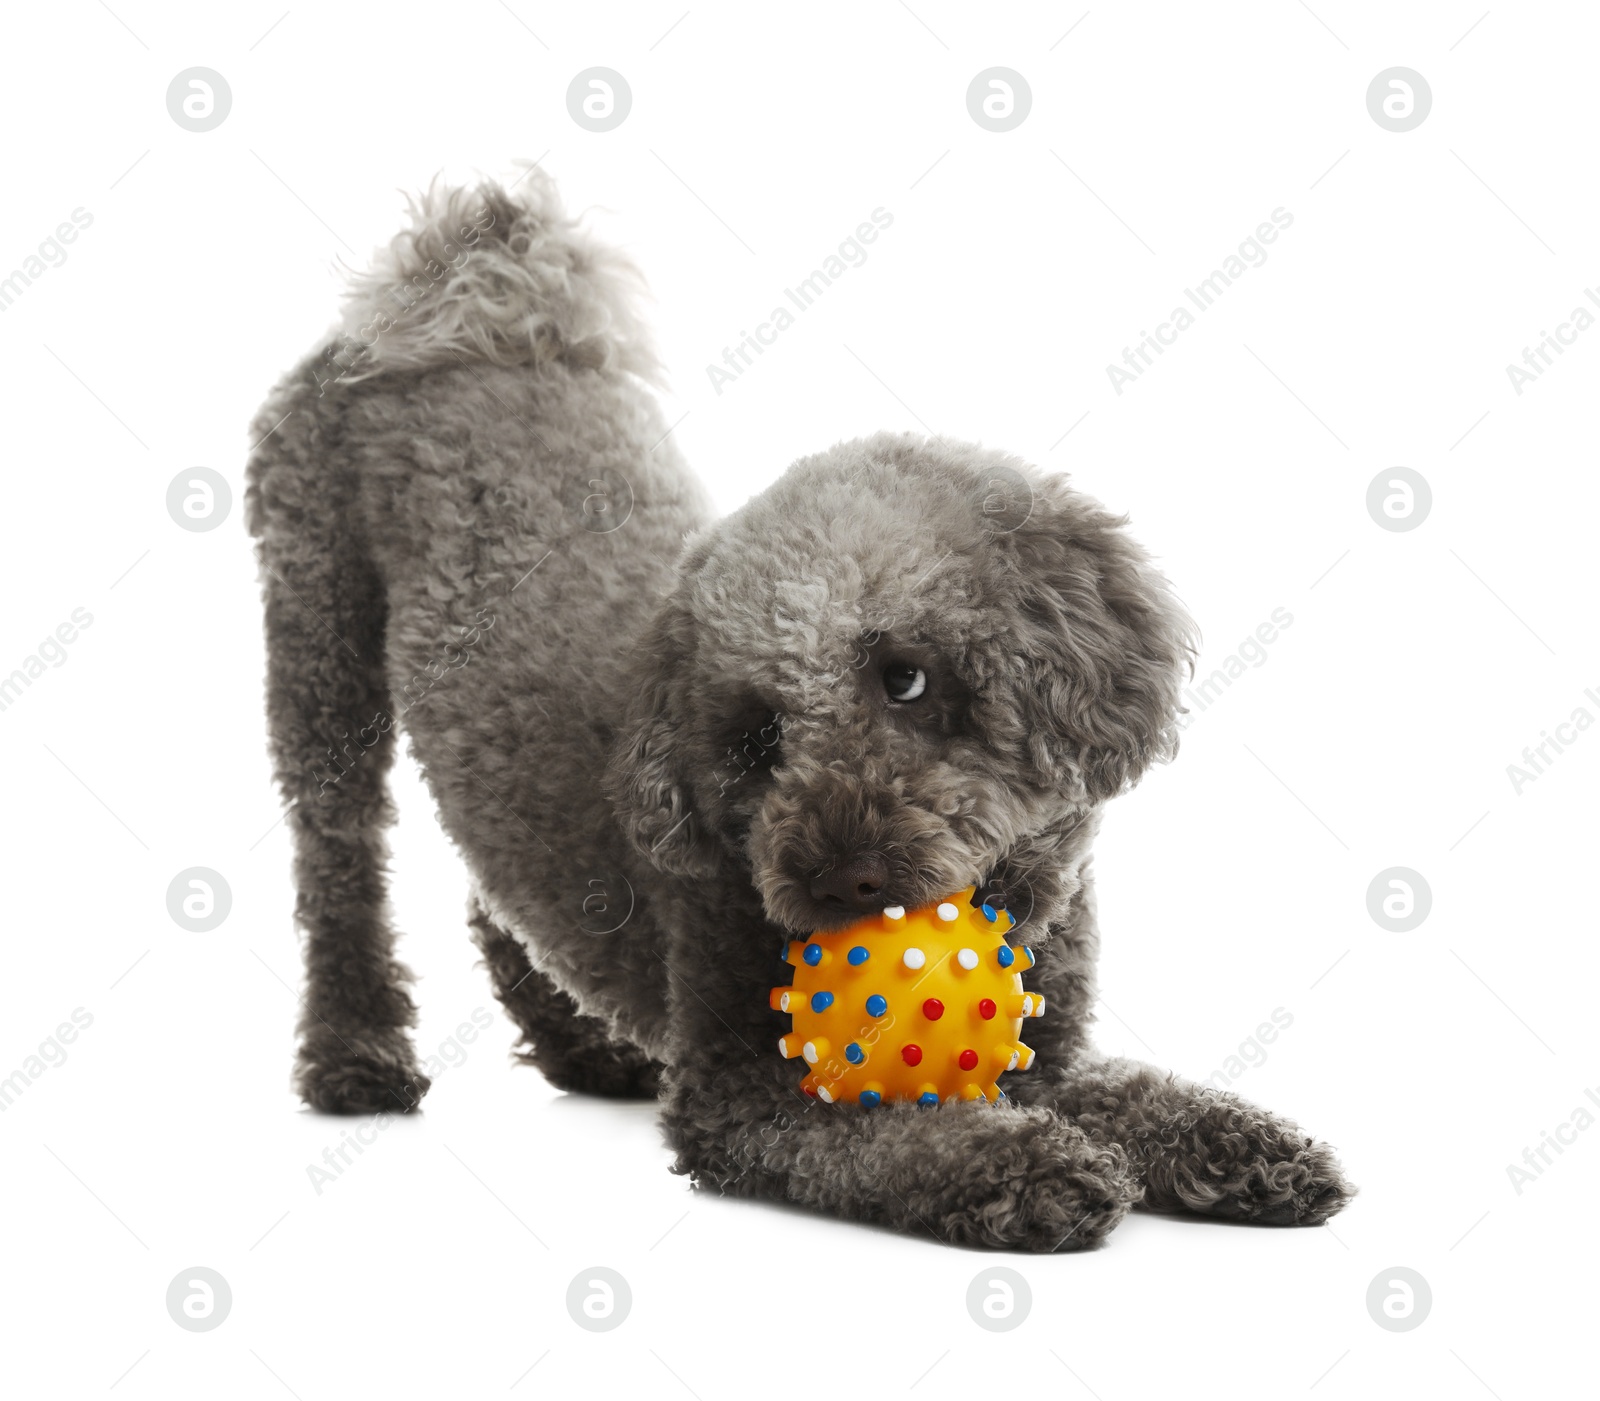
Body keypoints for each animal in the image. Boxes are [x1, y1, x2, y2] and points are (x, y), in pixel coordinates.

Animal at [246, 169, 1350, 1253]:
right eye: (755, 737)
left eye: (906, 678)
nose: (835, 877)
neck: (1009, 898)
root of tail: (465, 290)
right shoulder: (743, 1097)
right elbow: (899, 1142)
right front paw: (1024, 1165)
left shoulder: (1054, 1058)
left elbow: (1144, 1097)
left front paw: (1244, 1143)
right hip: (316, 638)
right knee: (339, 864)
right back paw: (353, 1058)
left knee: (496, 886)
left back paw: (584, 1046)